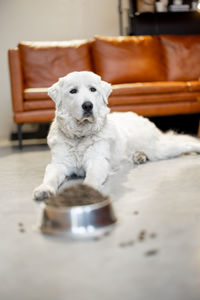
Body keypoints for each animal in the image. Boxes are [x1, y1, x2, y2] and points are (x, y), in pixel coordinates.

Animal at [33, 71, 200, 200]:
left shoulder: (97, 161)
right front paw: (44, 189)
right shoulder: (58, 164)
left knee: (185, 144)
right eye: (73, 91)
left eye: (93, 89)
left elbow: (91, 178)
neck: (80, 136)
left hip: (159, 149)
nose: (87, 105)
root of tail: (139, 115)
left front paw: (87, 190)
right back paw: (139, 156)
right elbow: (50, 177)